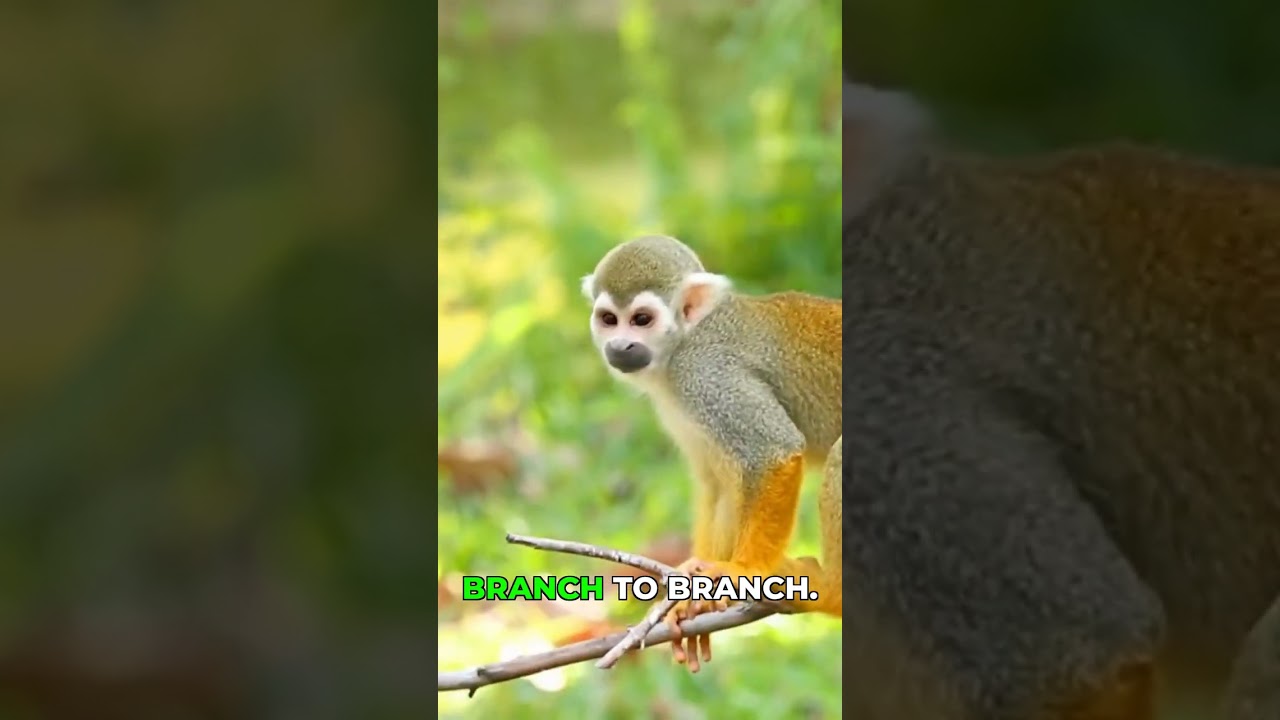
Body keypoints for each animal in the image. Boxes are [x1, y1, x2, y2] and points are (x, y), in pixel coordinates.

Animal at [580, 234, 843, 673]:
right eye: (609, 319)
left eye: (641, 320)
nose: (620, 346)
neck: (684, 342)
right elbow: (718, 485)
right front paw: (694, 597)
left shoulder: (706, 375)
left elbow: (773, 451)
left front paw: (744, 572)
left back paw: (833, 591)